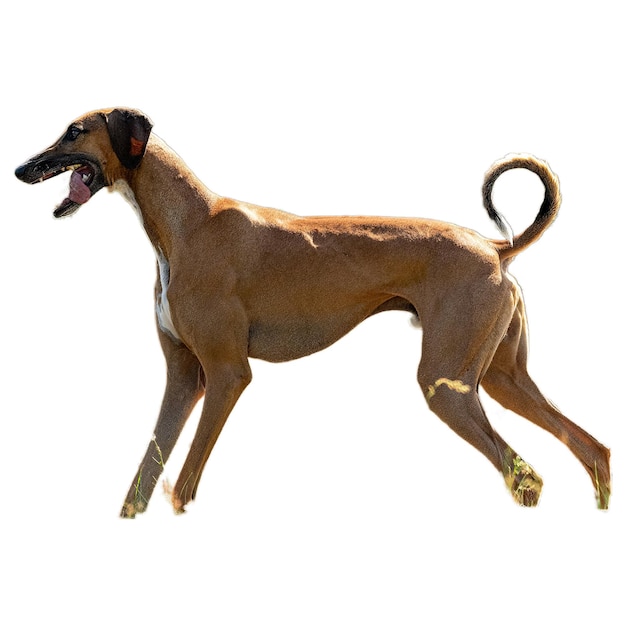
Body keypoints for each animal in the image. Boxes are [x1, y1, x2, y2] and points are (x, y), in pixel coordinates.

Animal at [15, 108, 608, 516]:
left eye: (74, 131)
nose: (22, 169)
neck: (188, 223)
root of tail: (494, 247)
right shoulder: (184, 378)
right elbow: (142, 480)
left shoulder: (226, 375)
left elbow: (182, 484)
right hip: (502, 379)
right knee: (590, 449)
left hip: (448, 384)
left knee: (526, 476)